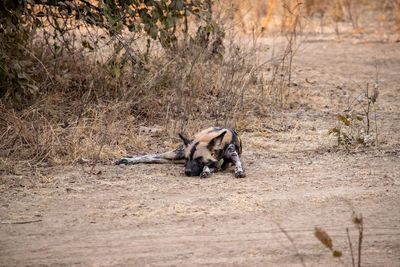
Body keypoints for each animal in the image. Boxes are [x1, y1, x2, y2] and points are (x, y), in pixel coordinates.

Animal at [115, 127, 245, 179]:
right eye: (188, 159)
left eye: (199, 159)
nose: (187, 172)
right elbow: (207, 167)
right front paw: (205, 172)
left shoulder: (230, 158)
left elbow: (238, 165)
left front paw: (239, 171)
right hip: (178, 153)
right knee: (152, 156)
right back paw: (126, 159)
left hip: (175, 157)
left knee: (155, 158)